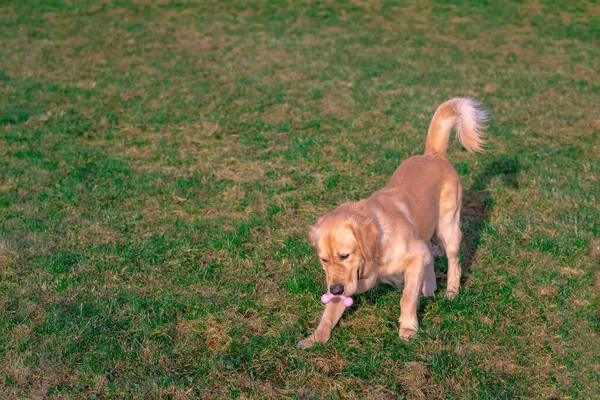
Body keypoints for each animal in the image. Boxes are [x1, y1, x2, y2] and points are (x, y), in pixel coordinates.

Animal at [296, 97, 488, 350]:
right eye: (323, 260)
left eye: (345, 255)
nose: (335, 289)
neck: (374, 253)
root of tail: (433, 154)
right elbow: (329, 313)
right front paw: (315, 338)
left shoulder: (413, 256)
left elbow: (407, 297)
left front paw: (408, 328)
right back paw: (429, 288)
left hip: (449, 228)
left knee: (454, 262)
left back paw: (451, 292)